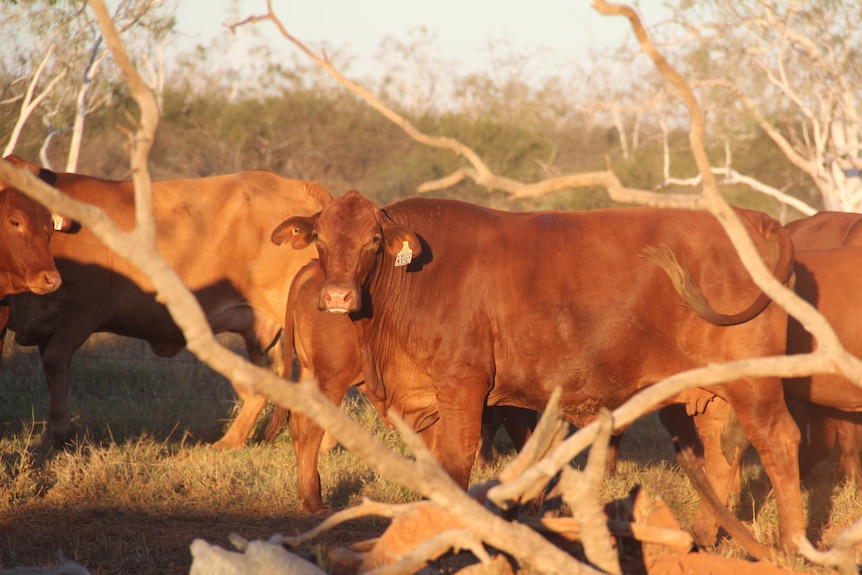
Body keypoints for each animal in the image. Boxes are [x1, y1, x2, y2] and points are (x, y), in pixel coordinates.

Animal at [4, 155, 328, 448]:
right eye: (15, 220)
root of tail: (300, 186)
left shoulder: (82, 312)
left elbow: (56, 360)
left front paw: (58, 433)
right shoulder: (45, 321)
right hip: (260, 328)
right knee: (262, 384)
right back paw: (231, 441)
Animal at [272, 191, 808, 552]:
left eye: (373, 240)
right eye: (320, 238)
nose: (338, 296)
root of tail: (753, 217)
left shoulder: (463, 384)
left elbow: (457, 461)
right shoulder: (424, 398)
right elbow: (434, 469)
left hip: (754, 384)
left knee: (778, 442)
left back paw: (793, 544)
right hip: (712, 392)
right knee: (722, 455)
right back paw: (699, 536)